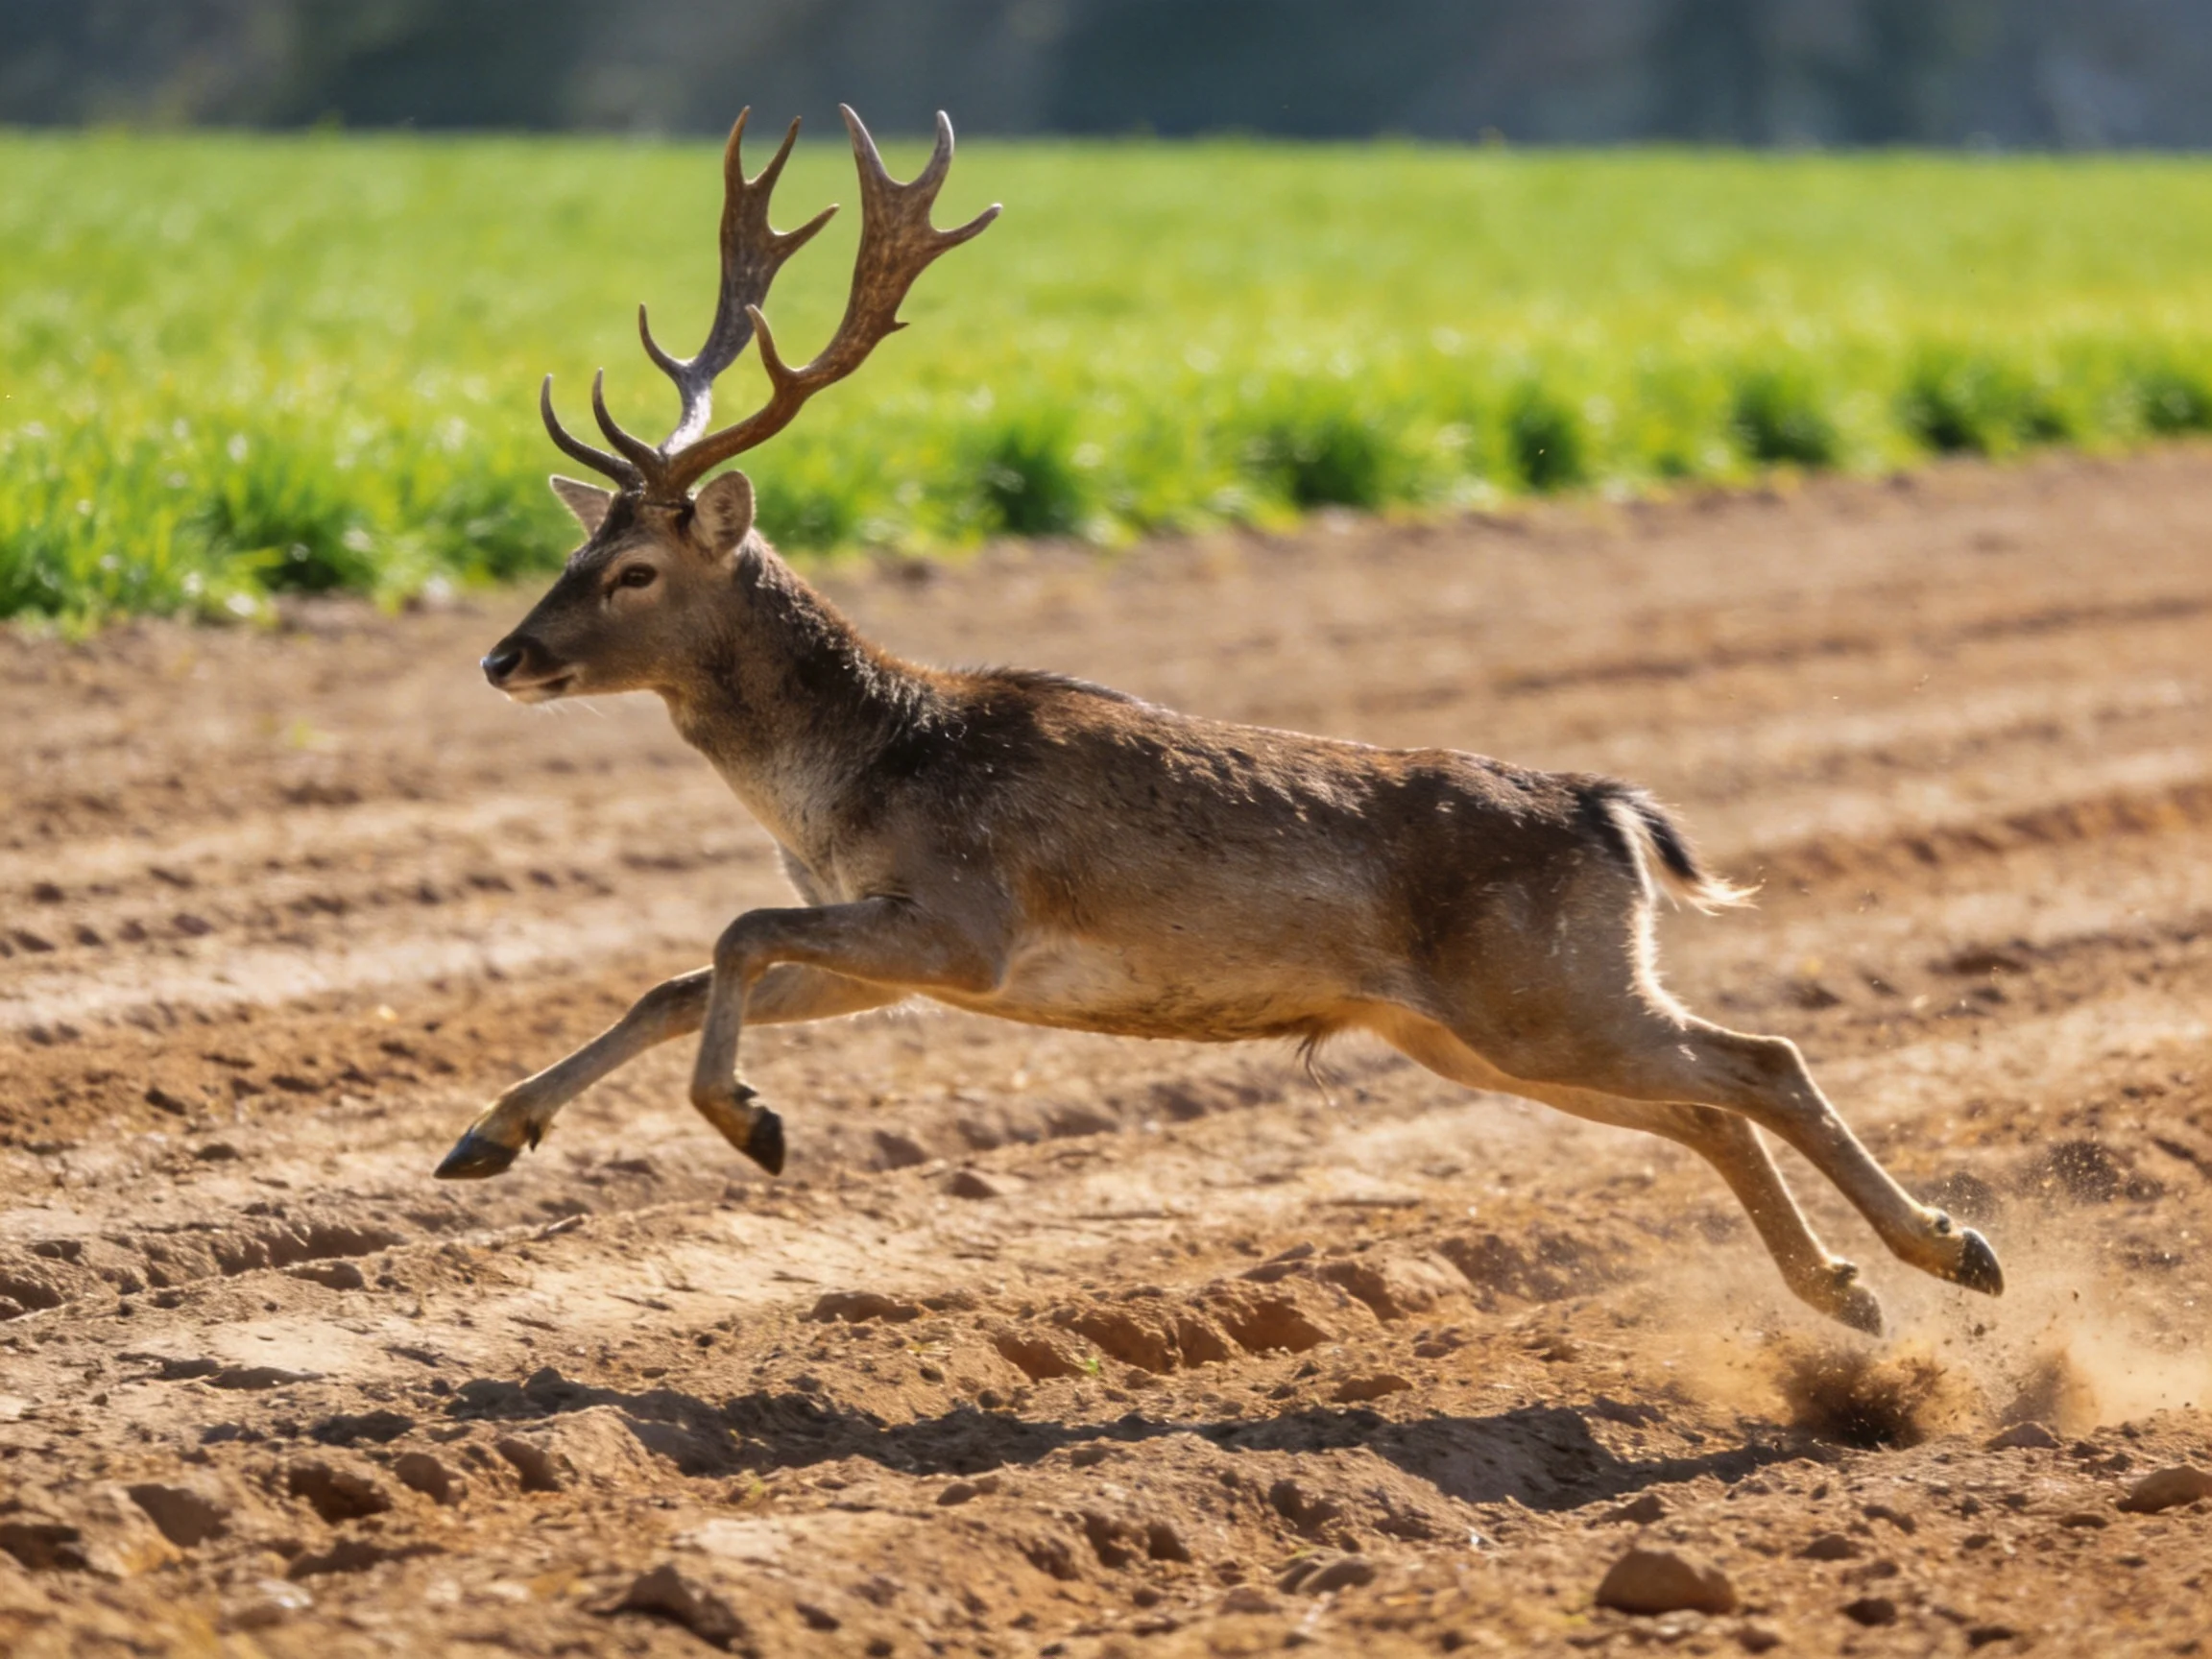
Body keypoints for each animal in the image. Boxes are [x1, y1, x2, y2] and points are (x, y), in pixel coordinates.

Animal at [436, 104, 2003, 1337]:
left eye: (633, 572)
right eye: (571, 548)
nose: (504, 657)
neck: (854, 778)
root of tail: (1612, 815)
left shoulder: (966, 922)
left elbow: (731, 930)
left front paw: (750, 1125)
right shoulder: (899, 957)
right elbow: (681, 976)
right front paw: (486, 1137)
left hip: (1548, 990)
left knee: (1760, 1063)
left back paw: (1948, 1252)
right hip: (1479, 1026)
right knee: (1707, 1104)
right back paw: (1855, 1294)